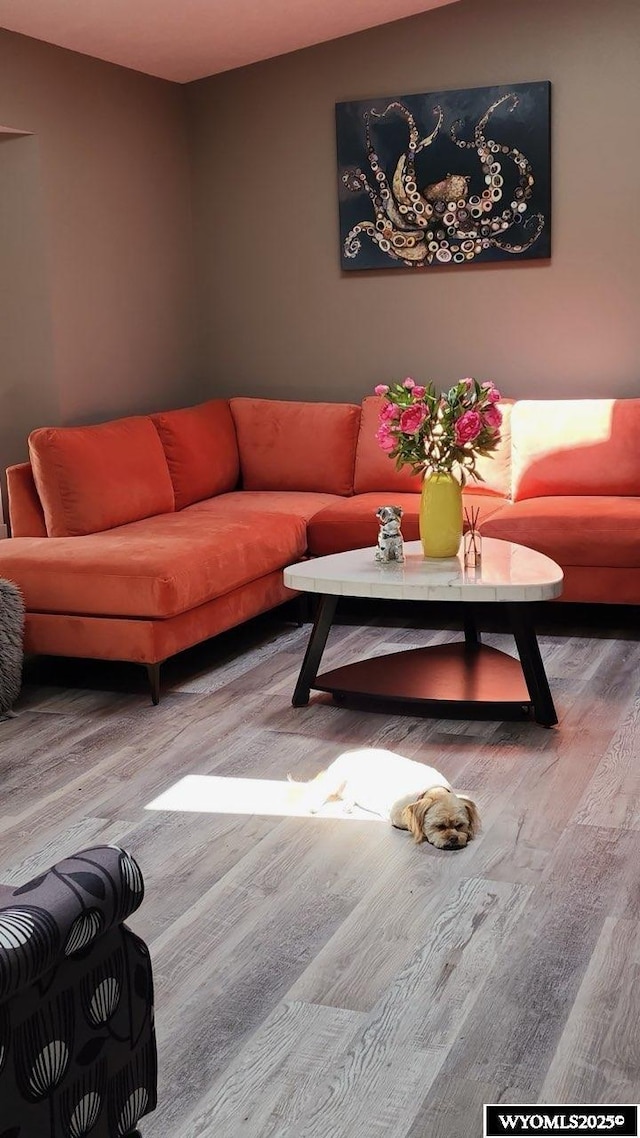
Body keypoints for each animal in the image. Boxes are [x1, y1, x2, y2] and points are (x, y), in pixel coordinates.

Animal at [291, 751, 476, 851]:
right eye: (439, 826)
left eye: (460, 825)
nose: (453, 839)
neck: (432, 790)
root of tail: (346, 754)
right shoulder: (399, 816)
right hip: (336, 780)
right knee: (322, 792)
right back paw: (314, 806)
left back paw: (348, 806)